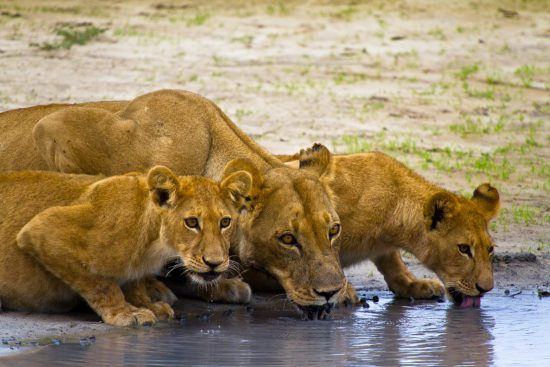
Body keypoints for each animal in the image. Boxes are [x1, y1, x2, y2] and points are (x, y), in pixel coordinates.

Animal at [0, 165, 253, 326]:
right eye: (191, 222)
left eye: (225, 222)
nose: (214, 263)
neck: (153, 244)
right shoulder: (42, 229)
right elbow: (101, 283)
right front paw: (124, 313)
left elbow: (133, 282)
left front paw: (148, 304)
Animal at [280, 150, 500, 308]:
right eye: (463, 249)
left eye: (490, 249)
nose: (486, 288)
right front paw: (343, 291)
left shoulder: (385, 248)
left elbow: (394, 264)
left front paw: (415, 285)